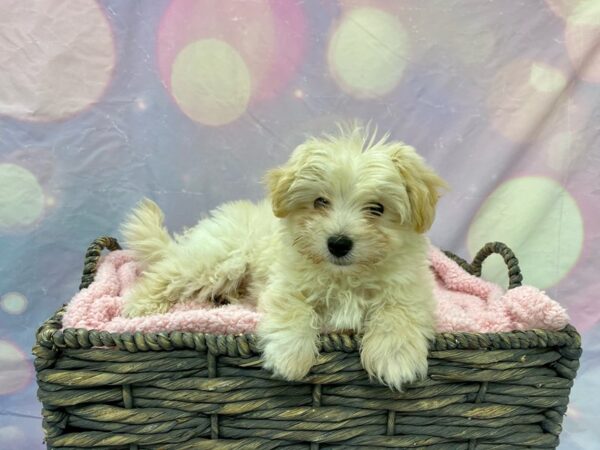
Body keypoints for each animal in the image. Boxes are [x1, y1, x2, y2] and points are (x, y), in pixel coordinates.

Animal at [120, 126, 446, 390]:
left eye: (377, 208)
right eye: (320, 202)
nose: (338, 243)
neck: (344, 277)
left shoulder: (411, 289)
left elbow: (399, 312)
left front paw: (396, 359)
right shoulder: (285, 283)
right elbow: (293, 308)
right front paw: (290, 357)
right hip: (219, 259)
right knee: (166, 273)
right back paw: (138, 307)